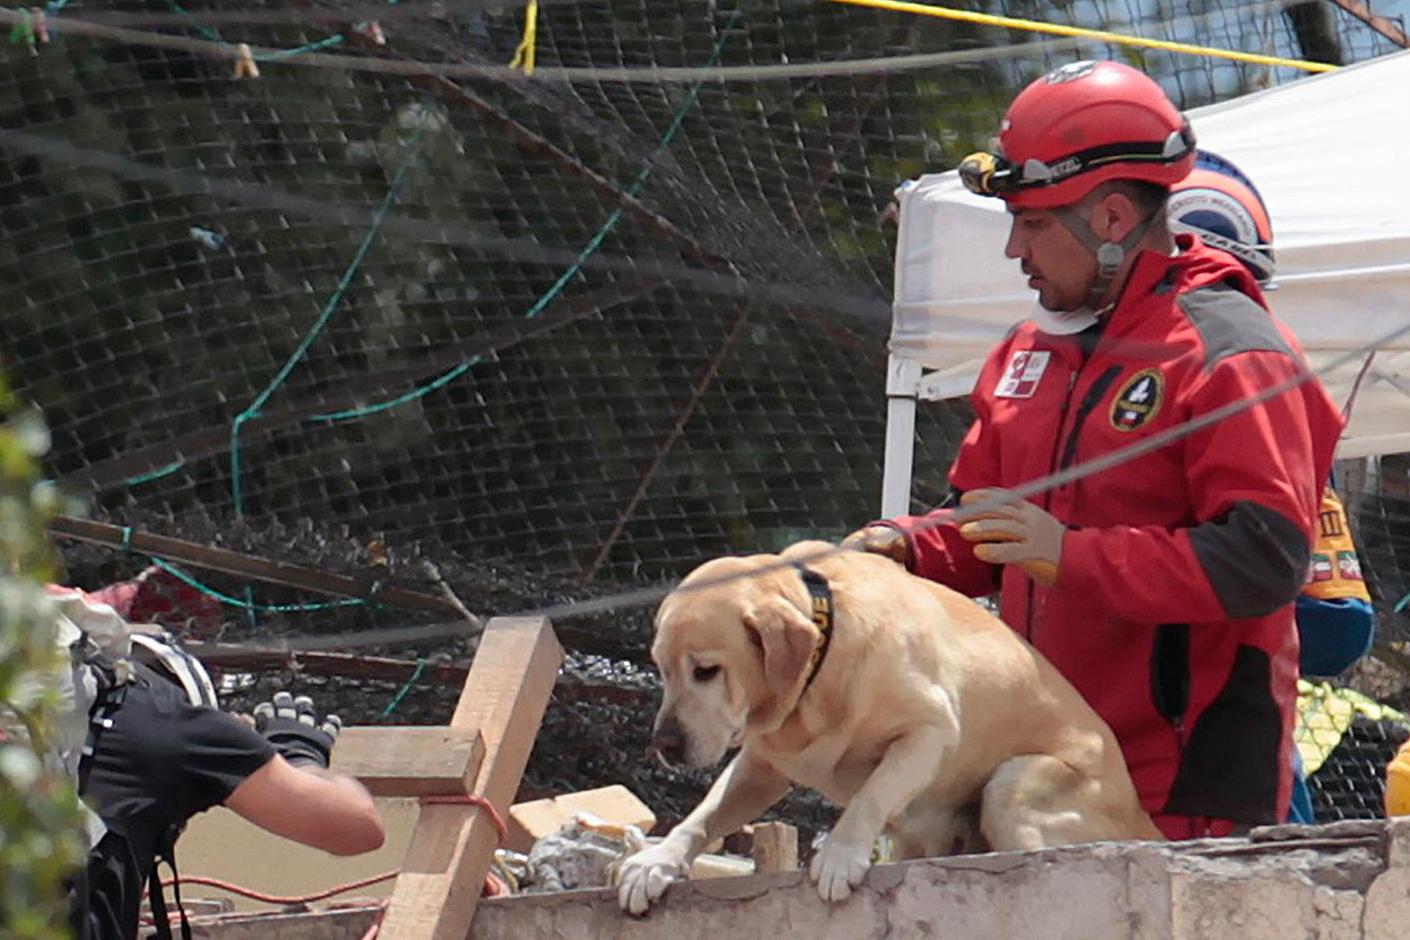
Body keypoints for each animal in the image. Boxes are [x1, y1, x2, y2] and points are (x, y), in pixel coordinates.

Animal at [614, 541, 1156, 913]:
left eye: (706, 671)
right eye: (661, 668)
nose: (663, 744)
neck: (820, 662)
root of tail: (1143, 818)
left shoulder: (929, 730)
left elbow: (869, 796)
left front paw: (840, 855)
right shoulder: (760, 766)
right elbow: (704, 814)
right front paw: (655, 862)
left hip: (1014, 784)